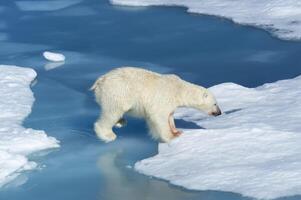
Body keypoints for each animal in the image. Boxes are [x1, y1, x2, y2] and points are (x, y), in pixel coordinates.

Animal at [89, 67, 220, 142]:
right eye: (215, 103)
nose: (219, 112)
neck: (178, 89)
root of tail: (100, 81)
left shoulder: (171, 103)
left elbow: (170, 116)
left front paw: (176, 131)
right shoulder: (163, 98)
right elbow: (159, 117)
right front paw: (171, 137)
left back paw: (120, 122)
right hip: (118, 92)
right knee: (113, 112)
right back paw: (108, 135)